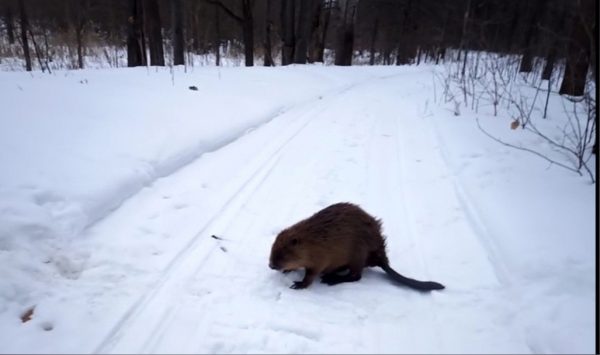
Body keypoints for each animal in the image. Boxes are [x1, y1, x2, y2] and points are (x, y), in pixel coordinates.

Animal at [270, 203, 442, 292]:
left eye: (282, 254)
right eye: (273, 250)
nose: (271, 265)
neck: (311, 240)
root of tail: (381, 258)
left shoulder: (321, 256)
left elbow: (311, 274)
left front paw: (298, 284)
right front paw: (288, 270)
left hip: (359, 253)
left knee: (356, 276)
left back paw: (331, 278)